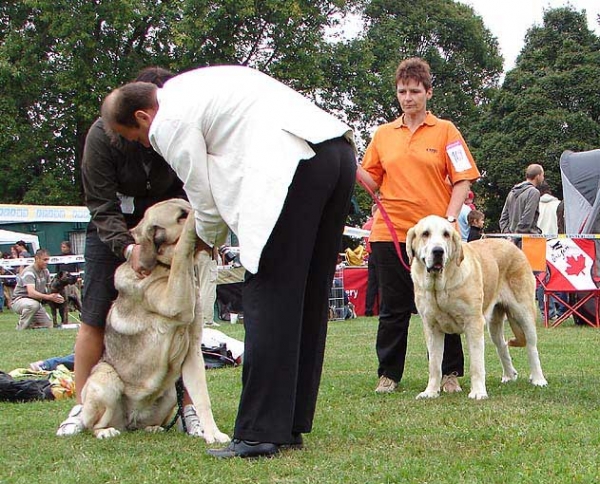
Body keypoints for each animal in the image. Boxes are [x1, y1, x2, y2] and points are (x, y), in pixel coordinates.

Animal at [78, 198, 229, 442]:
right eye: (180, 215)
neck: (163, 268)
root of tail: (130, 419)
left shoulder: (193, 352)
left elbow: (203, 399)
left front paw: (213, 434)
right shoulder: (172, 299)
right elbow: (181, 251)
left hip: (170, 393)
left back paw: (153, 427)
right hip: (105, 379)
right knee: (93, 424)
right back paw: (105, 431)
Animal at [406, 216, 548, 400]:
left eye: (446, 234)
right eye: (425, 234)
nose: (438, 251)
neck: (441, 286)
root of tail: (513, 246)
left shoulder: (473, 323)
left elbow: (476, 364)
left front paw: (478, 392)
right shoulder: (431, 327)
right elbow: (435, 365)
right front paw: (430, 392)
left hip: (524, 312)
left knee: (532, 347)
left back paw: (538, 379)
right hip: (494, 324)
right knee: (502, 345)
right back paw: (509, 375)